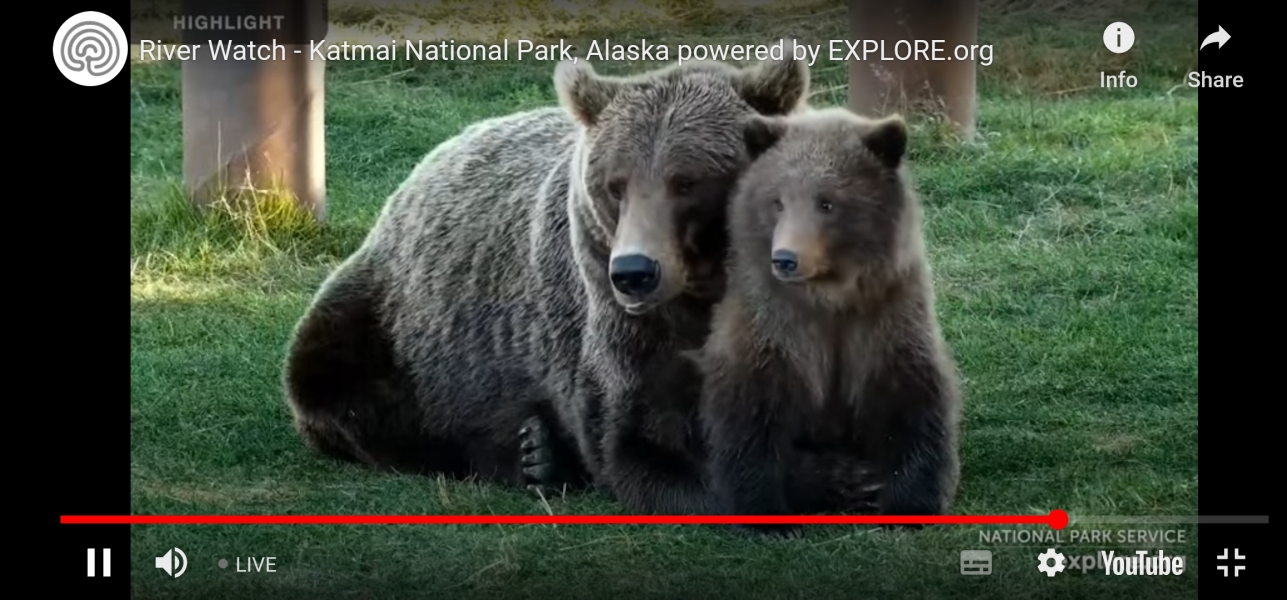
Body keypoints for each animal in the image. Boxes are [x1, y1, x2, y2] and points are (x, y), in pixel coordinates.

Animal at [283, 44, 817, 513]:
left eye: (688, 181)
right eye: (615, 185)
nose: (635, 272)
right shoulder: (616, 319)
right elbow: (640, 437)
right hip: (393, 320)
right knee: (336, 384)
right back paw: (531, 455)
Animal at [687, 107, 963, 537]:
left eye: (827, 203)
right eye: (778, 202)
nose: (786, 258)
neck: (829, 297)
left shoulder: (887, 321)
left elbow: (913, 404)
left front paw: (910, 506)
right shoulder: (771, 330)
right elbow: (751, 419)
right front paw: (770, 516)